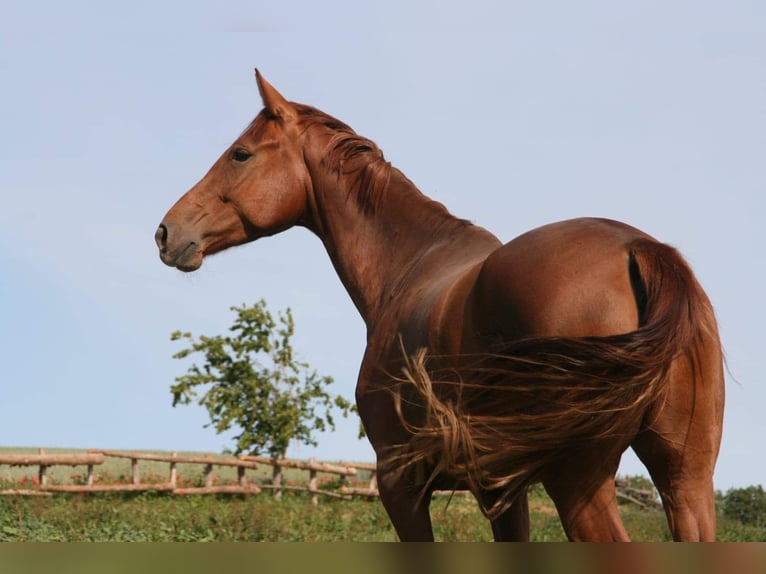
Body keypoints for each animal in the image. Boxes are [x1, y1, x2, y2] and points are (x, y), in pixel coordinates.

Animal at [156, 70, 728, 544]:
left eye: (241, 154)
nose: (166, 232)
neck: (409, 266)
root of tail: (641, 249)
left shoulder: (399, 483)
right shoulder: (502, 492)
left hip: (578, 485)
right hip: (687, 482)